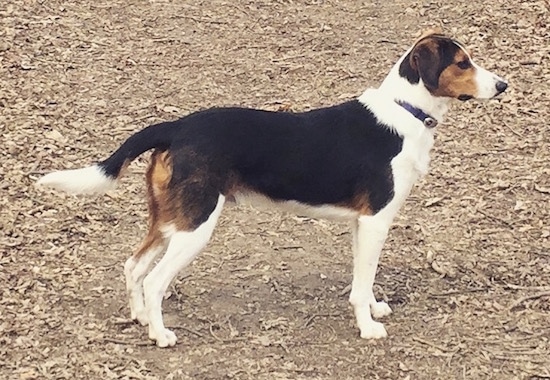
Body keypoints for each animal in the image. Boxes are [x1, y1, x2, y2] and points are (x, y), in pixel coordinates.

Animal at [36, 31, 508, 348]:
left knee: (134, 266)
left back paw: (139, 319)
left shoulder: (362, 224)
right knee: (154, 281)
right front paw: (369, 328)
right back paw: (162, 334)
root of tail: (176, 126)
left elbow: (364, 279)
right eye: (462, 63)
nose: (503, 85)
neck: (406, 110)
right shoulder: (377, 221)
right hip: (196, 225)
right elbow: (361, 283)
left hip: (170, 219)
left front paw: (372, 309)